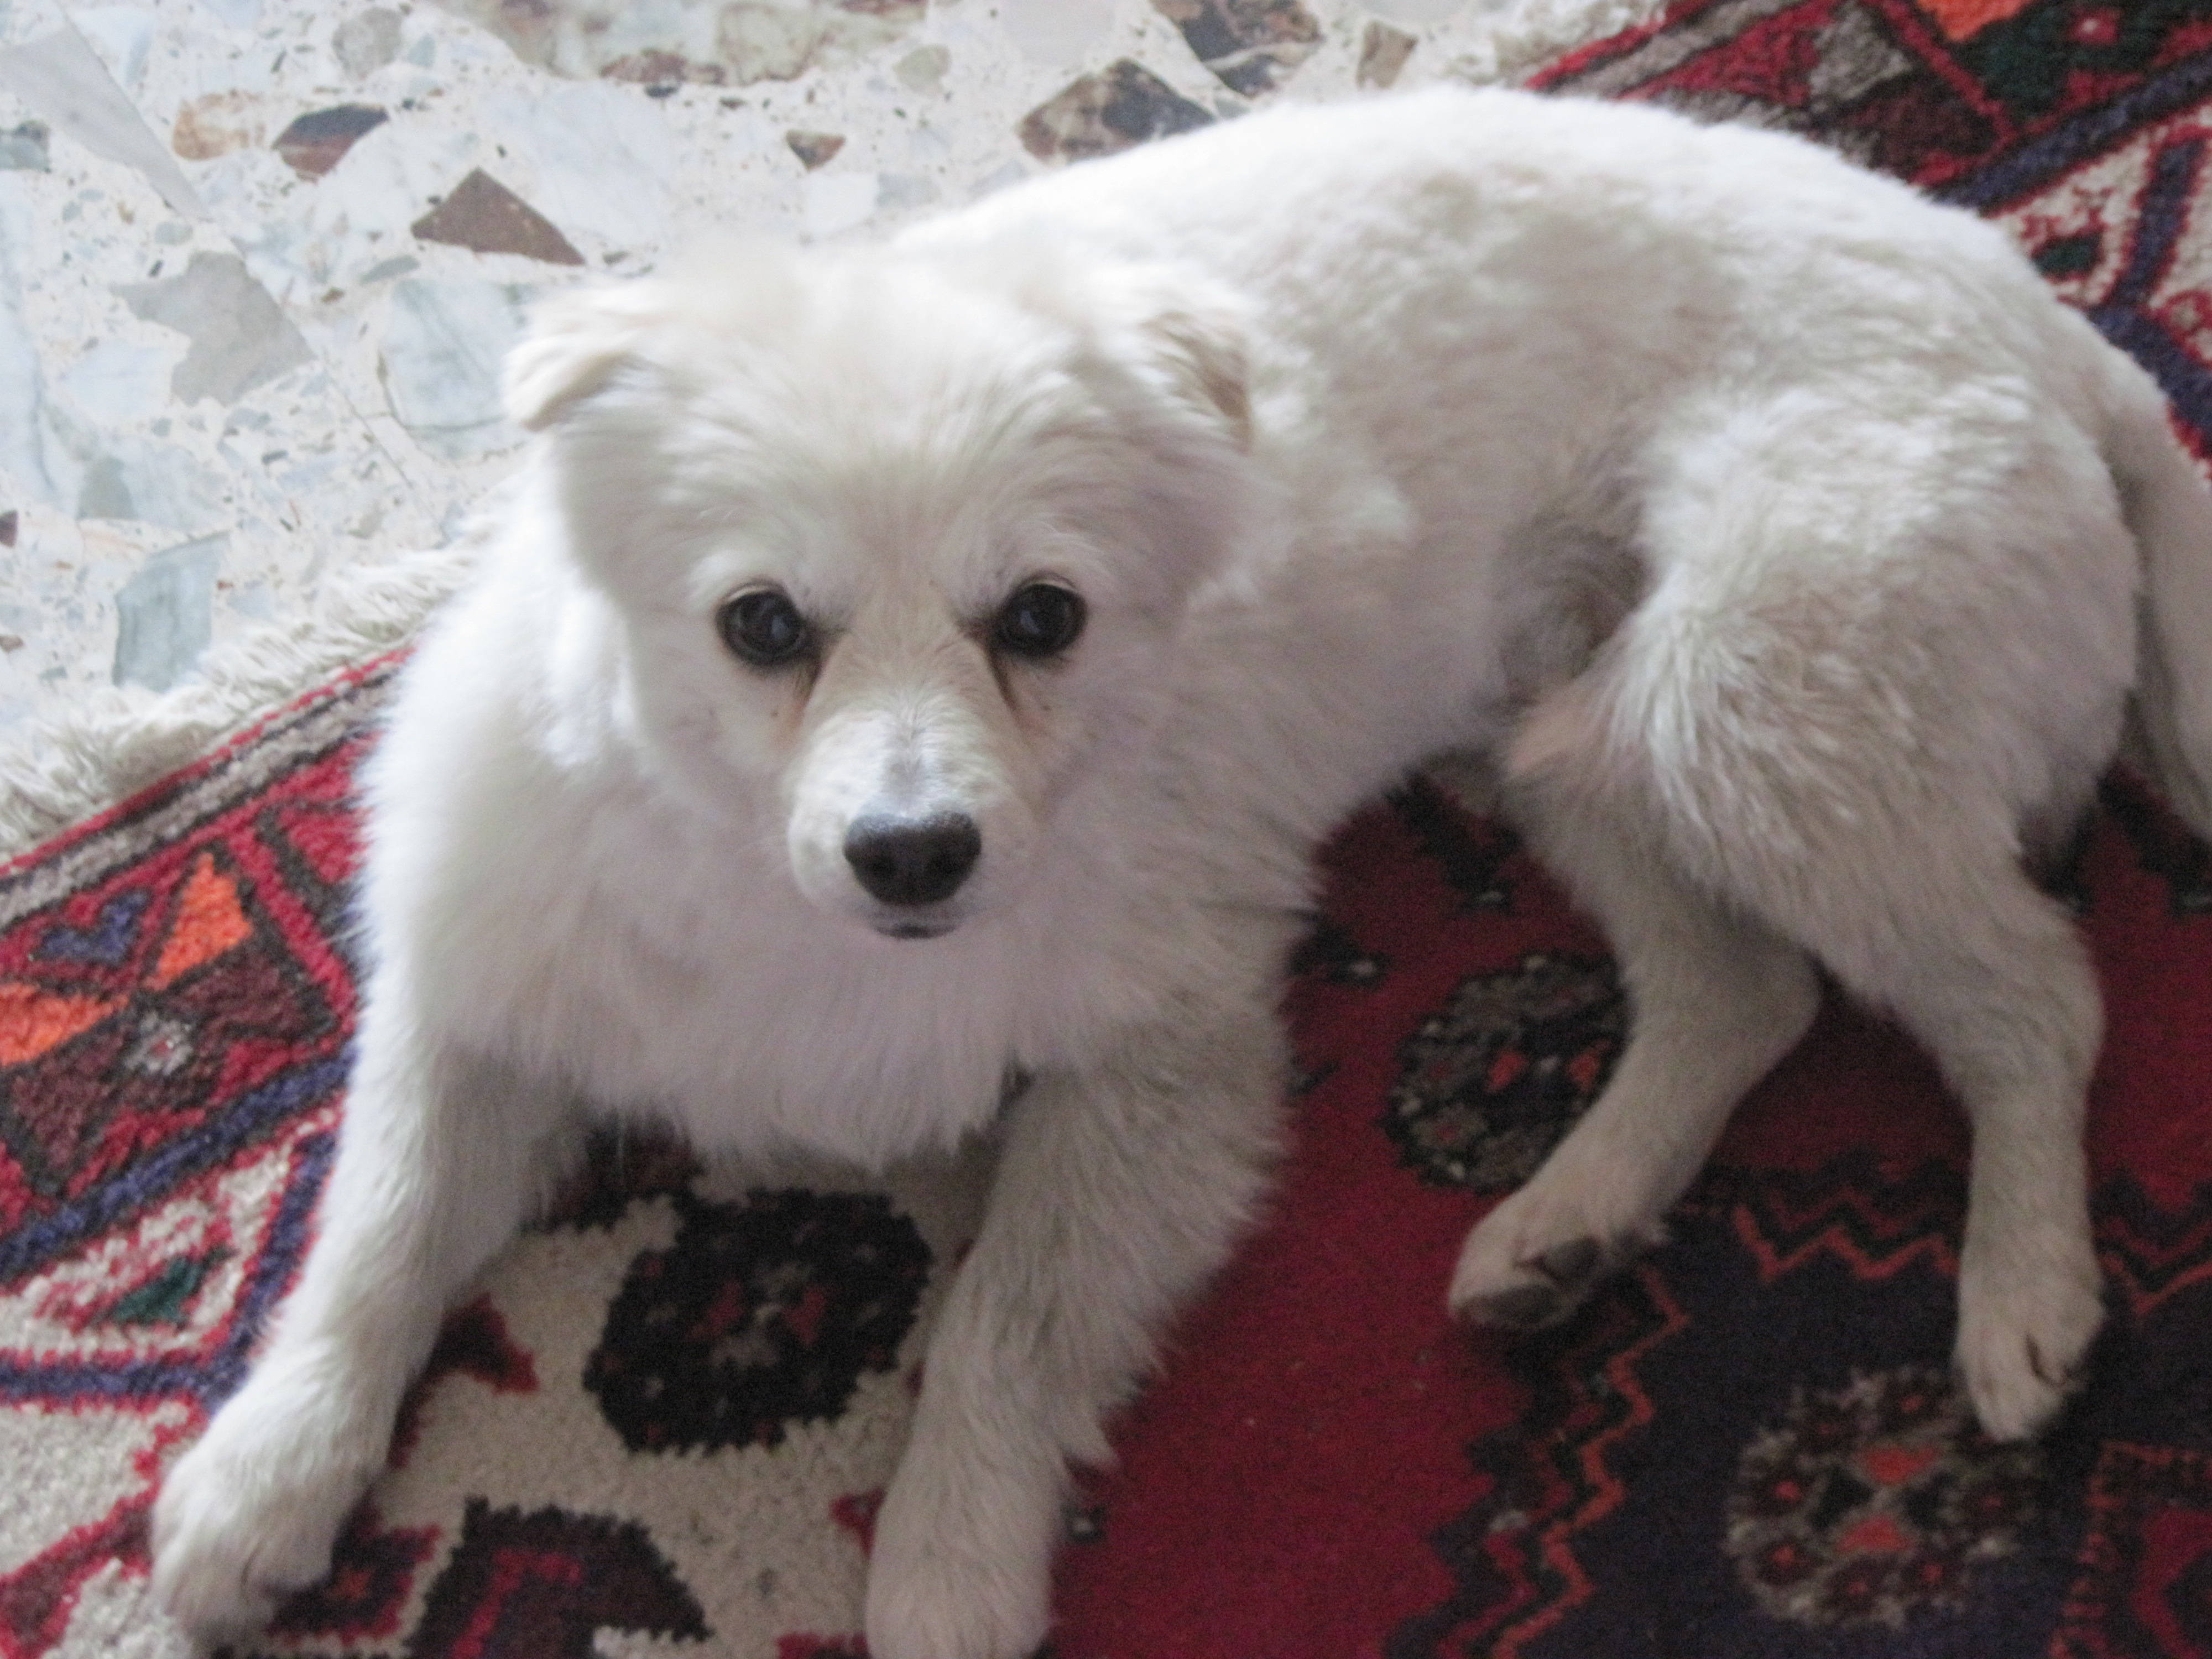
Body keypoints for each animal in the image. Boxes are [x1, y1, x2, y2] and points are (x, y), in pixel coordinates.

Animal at [151, 86, 2212, 1659]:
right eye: (761, 625)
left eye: (1041, 618)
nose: (915, 849)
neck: (779, 892)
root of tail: (2044, 313)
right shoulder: (487, 990)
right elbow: (373, 1238)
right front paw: (261, 1481)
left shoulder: (1157, 1069)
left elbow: (997, 1330)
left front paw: (945, 1575)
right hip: (1574, 738)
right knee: (1746, 989)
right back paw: (1567, 1227)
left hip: (1753, 703)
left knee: (2036, 998)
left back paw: (2022, 1295)